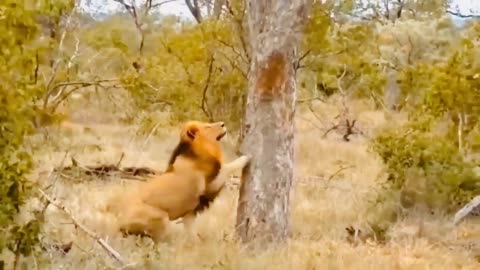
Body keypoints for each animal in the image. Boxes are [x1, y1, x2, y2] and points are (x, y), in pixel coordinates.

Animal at [103, 121, 249, 242]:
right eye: (208, 127)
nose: (223, 123)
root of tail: (118, 220)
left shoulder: (191, 211)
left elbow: (191, 230)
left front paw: (193, 244)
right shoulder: (210, 186)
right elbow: (227, 167)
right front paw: (246, 157)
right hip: (162, 217)